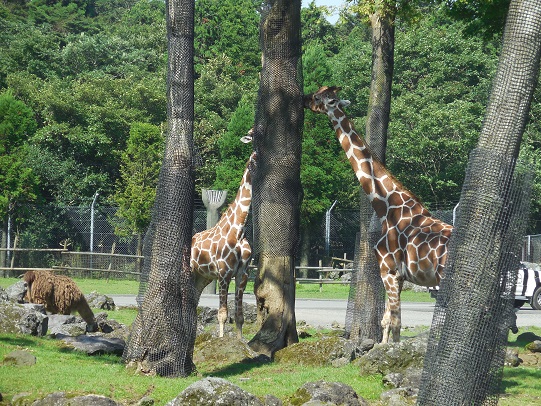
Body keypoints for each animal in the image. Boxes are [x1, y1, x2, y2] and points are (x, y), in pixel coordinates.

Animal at [190, 132, 255, 338]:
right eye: (252, 134)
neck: (239, 229)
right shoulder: (224, 273)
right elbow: (222, 315)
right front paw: (221, 340)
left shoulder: (243, 273)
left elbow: (239, 317)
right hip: (191, 272)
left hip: (202, 277)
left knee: (193, 304)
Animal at [304, 85, 452, 342]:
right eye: (317, 93)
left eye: (321, 98)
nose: (305, 100)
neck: (386, 208)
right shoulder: (397, 276)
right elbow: (389, 322)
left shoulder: (389, 271)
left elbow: (394, 323)